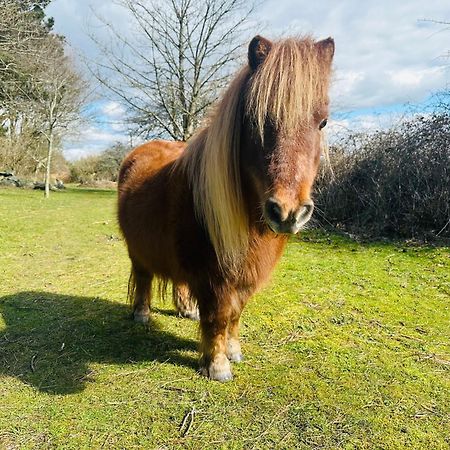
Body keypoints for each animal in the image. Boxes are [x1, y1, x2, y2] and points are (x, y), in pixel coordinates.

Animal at [118, 35, 336, 382]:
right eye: (258, 122)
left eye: (322, 123)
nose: (288, 212)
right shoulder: (213, 278)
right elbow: (219, 315)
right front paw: (217, 365)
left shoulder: (247, 275)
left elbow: (236, 312)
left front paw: (233, 351)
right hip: (137, 249)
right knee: (143, 277)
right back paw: (141, 313)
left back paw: (186, 309)